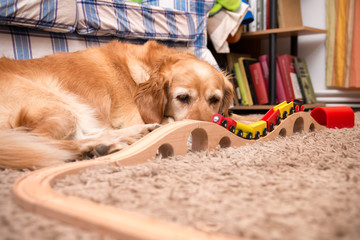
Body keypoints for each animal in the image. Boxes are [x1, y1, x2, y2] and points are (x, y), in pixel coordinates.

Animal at [0, 40, 233, 169]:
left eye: (214, 100)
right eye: (182, 98)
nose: (207, 131)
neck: (146, 70)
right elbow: (169, 122)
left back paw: (127, 137)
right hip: (59, 106)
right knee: (39, 140)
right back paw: (100, 146)